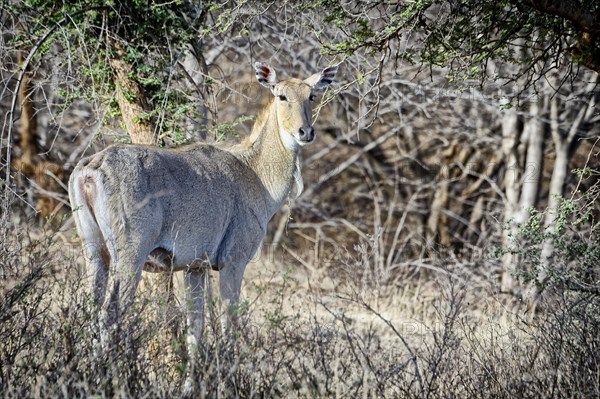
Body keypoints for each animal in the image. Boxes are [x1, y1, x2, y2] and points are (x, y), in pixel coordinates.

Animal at [68, 61, 338, 350]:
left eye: (311, 96)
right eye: (282, 96)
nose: (305, 132)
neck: (254, 172)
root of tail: (91, 168)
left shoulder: (195, 267)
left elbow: (195, 329)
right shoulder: (234, 260)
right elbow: (228, 324)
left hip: (94, 250)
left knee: (91, 310)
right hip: (130, 253)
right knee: (109, 315)